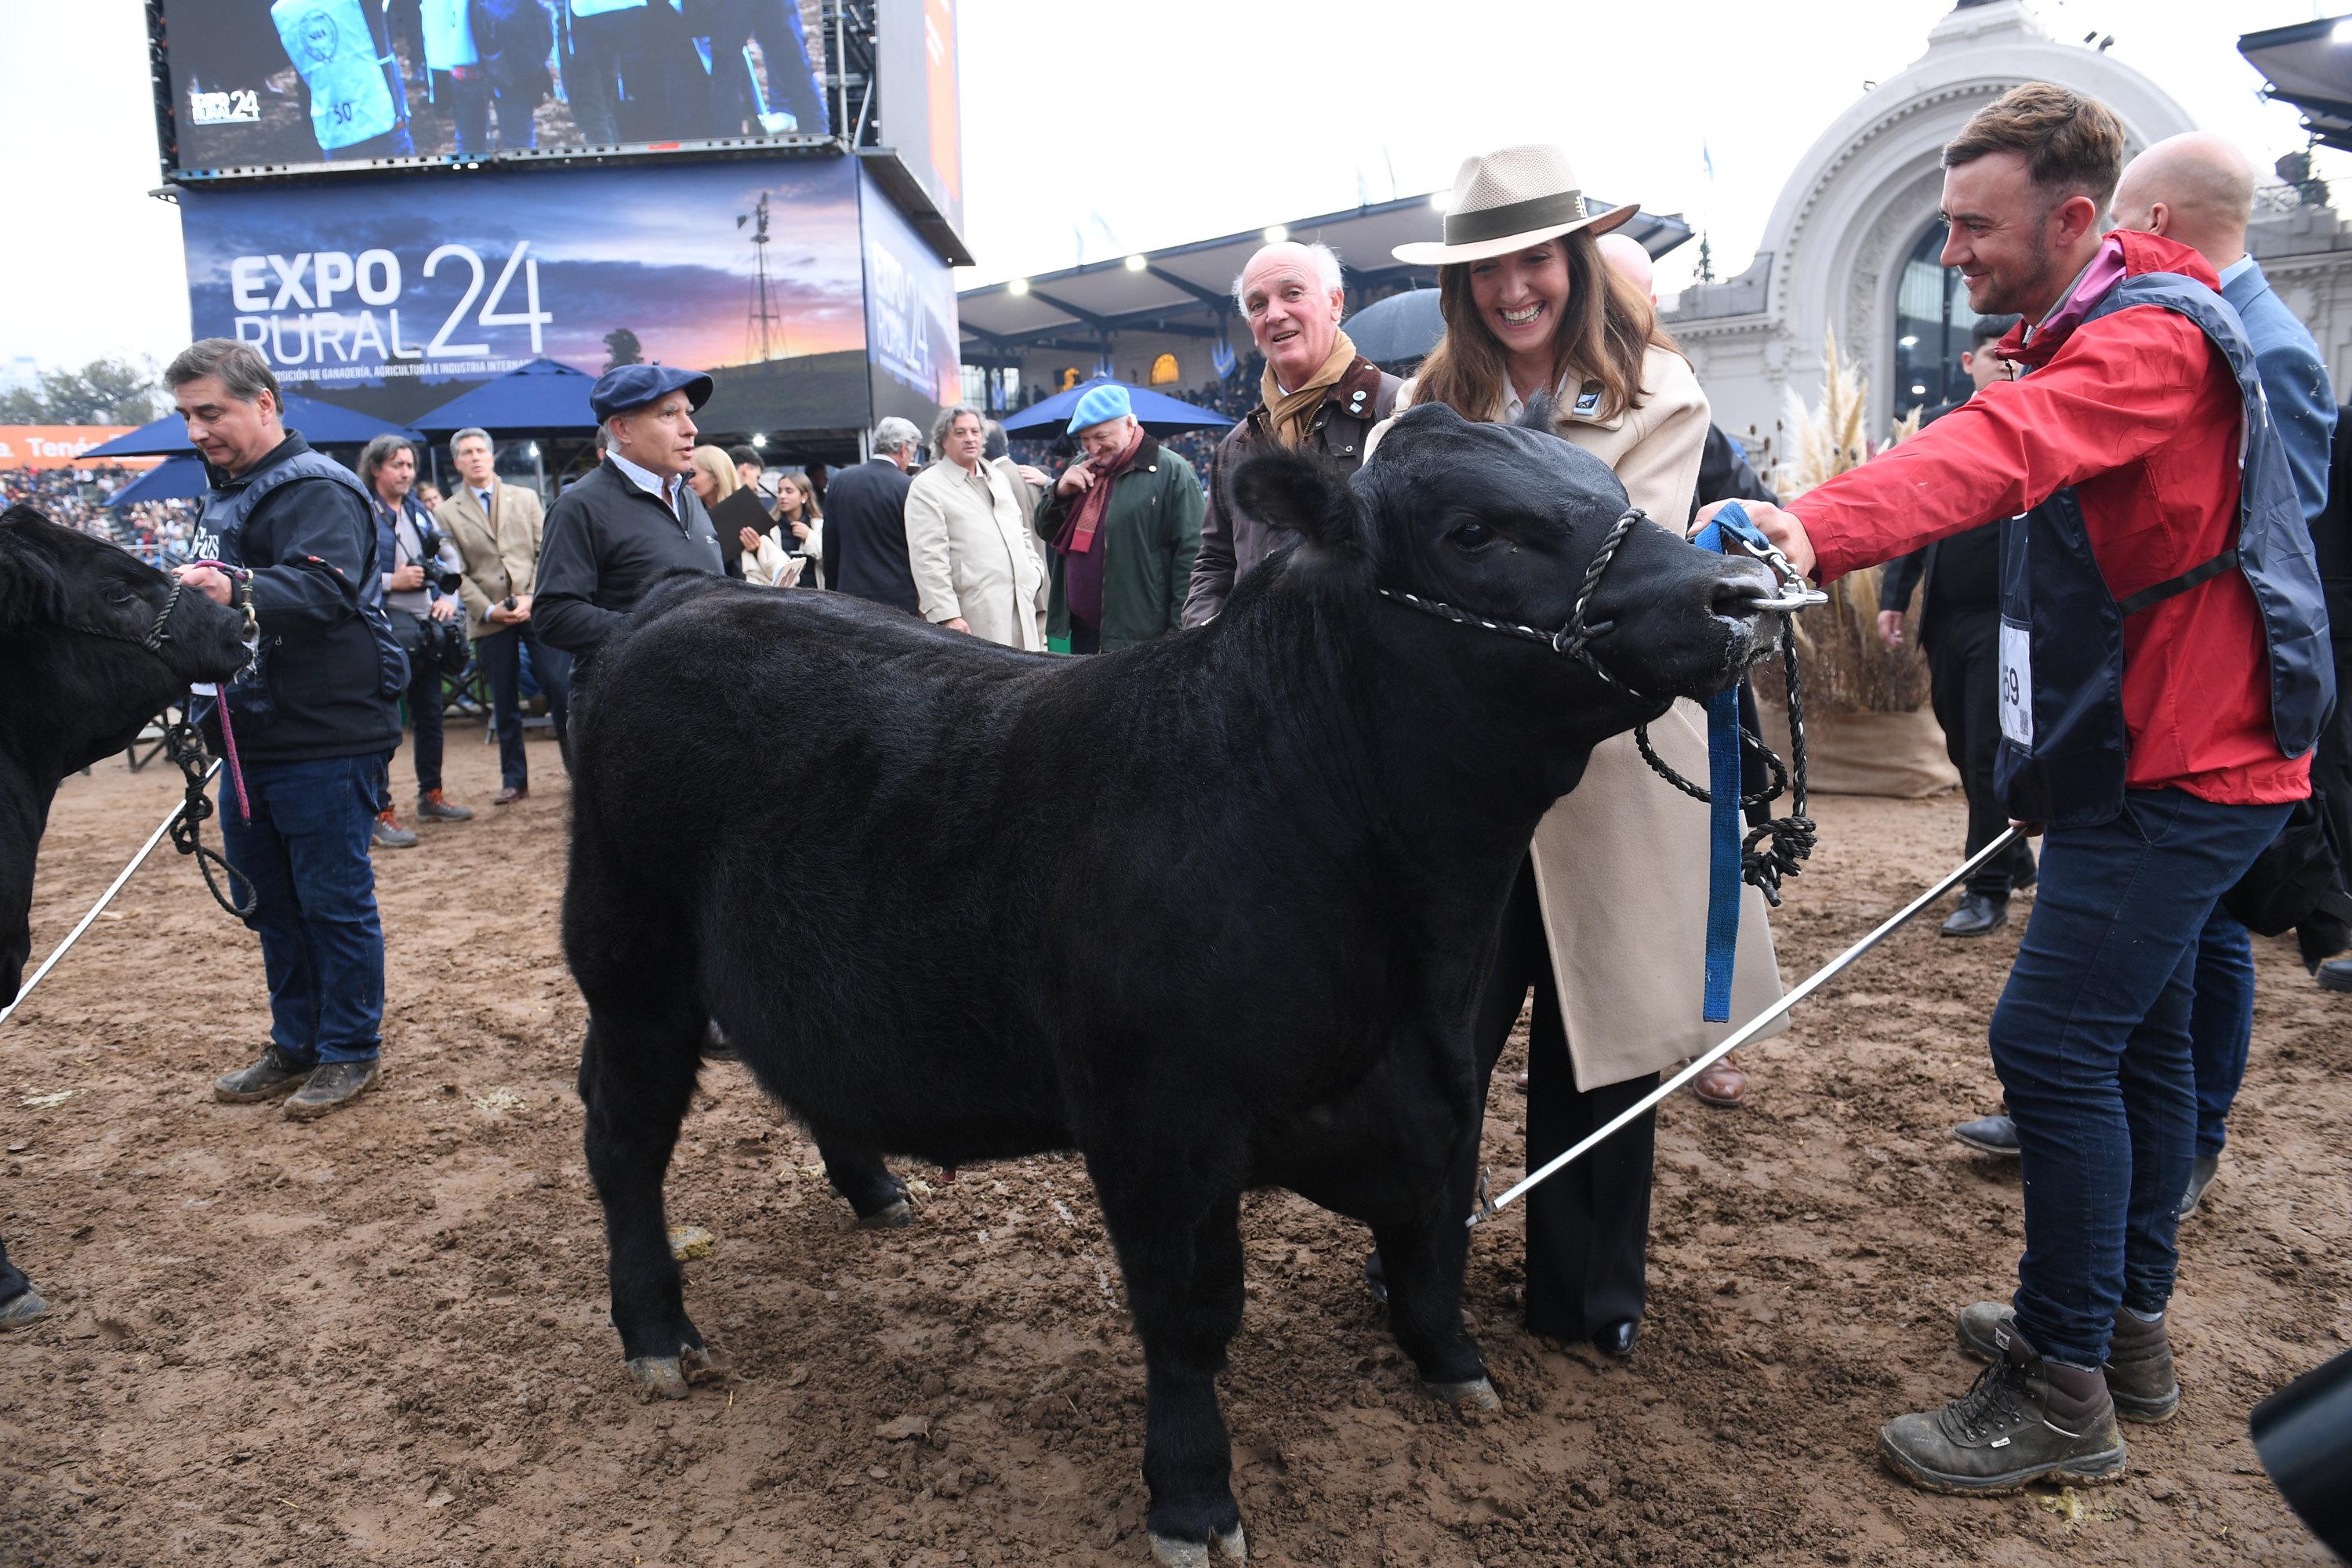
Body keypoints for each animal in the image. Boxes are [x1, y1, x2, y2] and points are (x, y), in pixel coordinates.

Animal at [569, 408, 1769, 1568]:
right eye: (1473, 532)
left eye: (1613, 489)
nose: (1741, 592)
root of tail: (688, 596)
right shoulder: (1158, 1120)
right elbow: (1190, 1313)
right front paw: (1193, 1495)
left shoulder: (1442, 1076)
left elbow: (1429, 1234)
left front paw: (1453, 1359)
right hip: (632, 968)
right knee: (624, 1140)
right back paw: (658, 1333)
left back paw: (873, 1188)